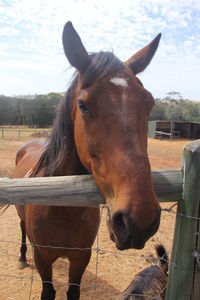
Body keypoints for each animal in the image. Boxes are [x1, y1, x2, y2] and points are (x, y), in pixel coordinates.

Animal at [13, 21, 161, 300]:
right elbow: (48, 292)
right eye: (83, 105)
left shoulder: (81, 258)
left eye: (149, 103)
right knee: (21, 229)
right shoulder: (43, 258)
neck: (61, 209)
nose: (139, 219)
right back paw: (21, 257)